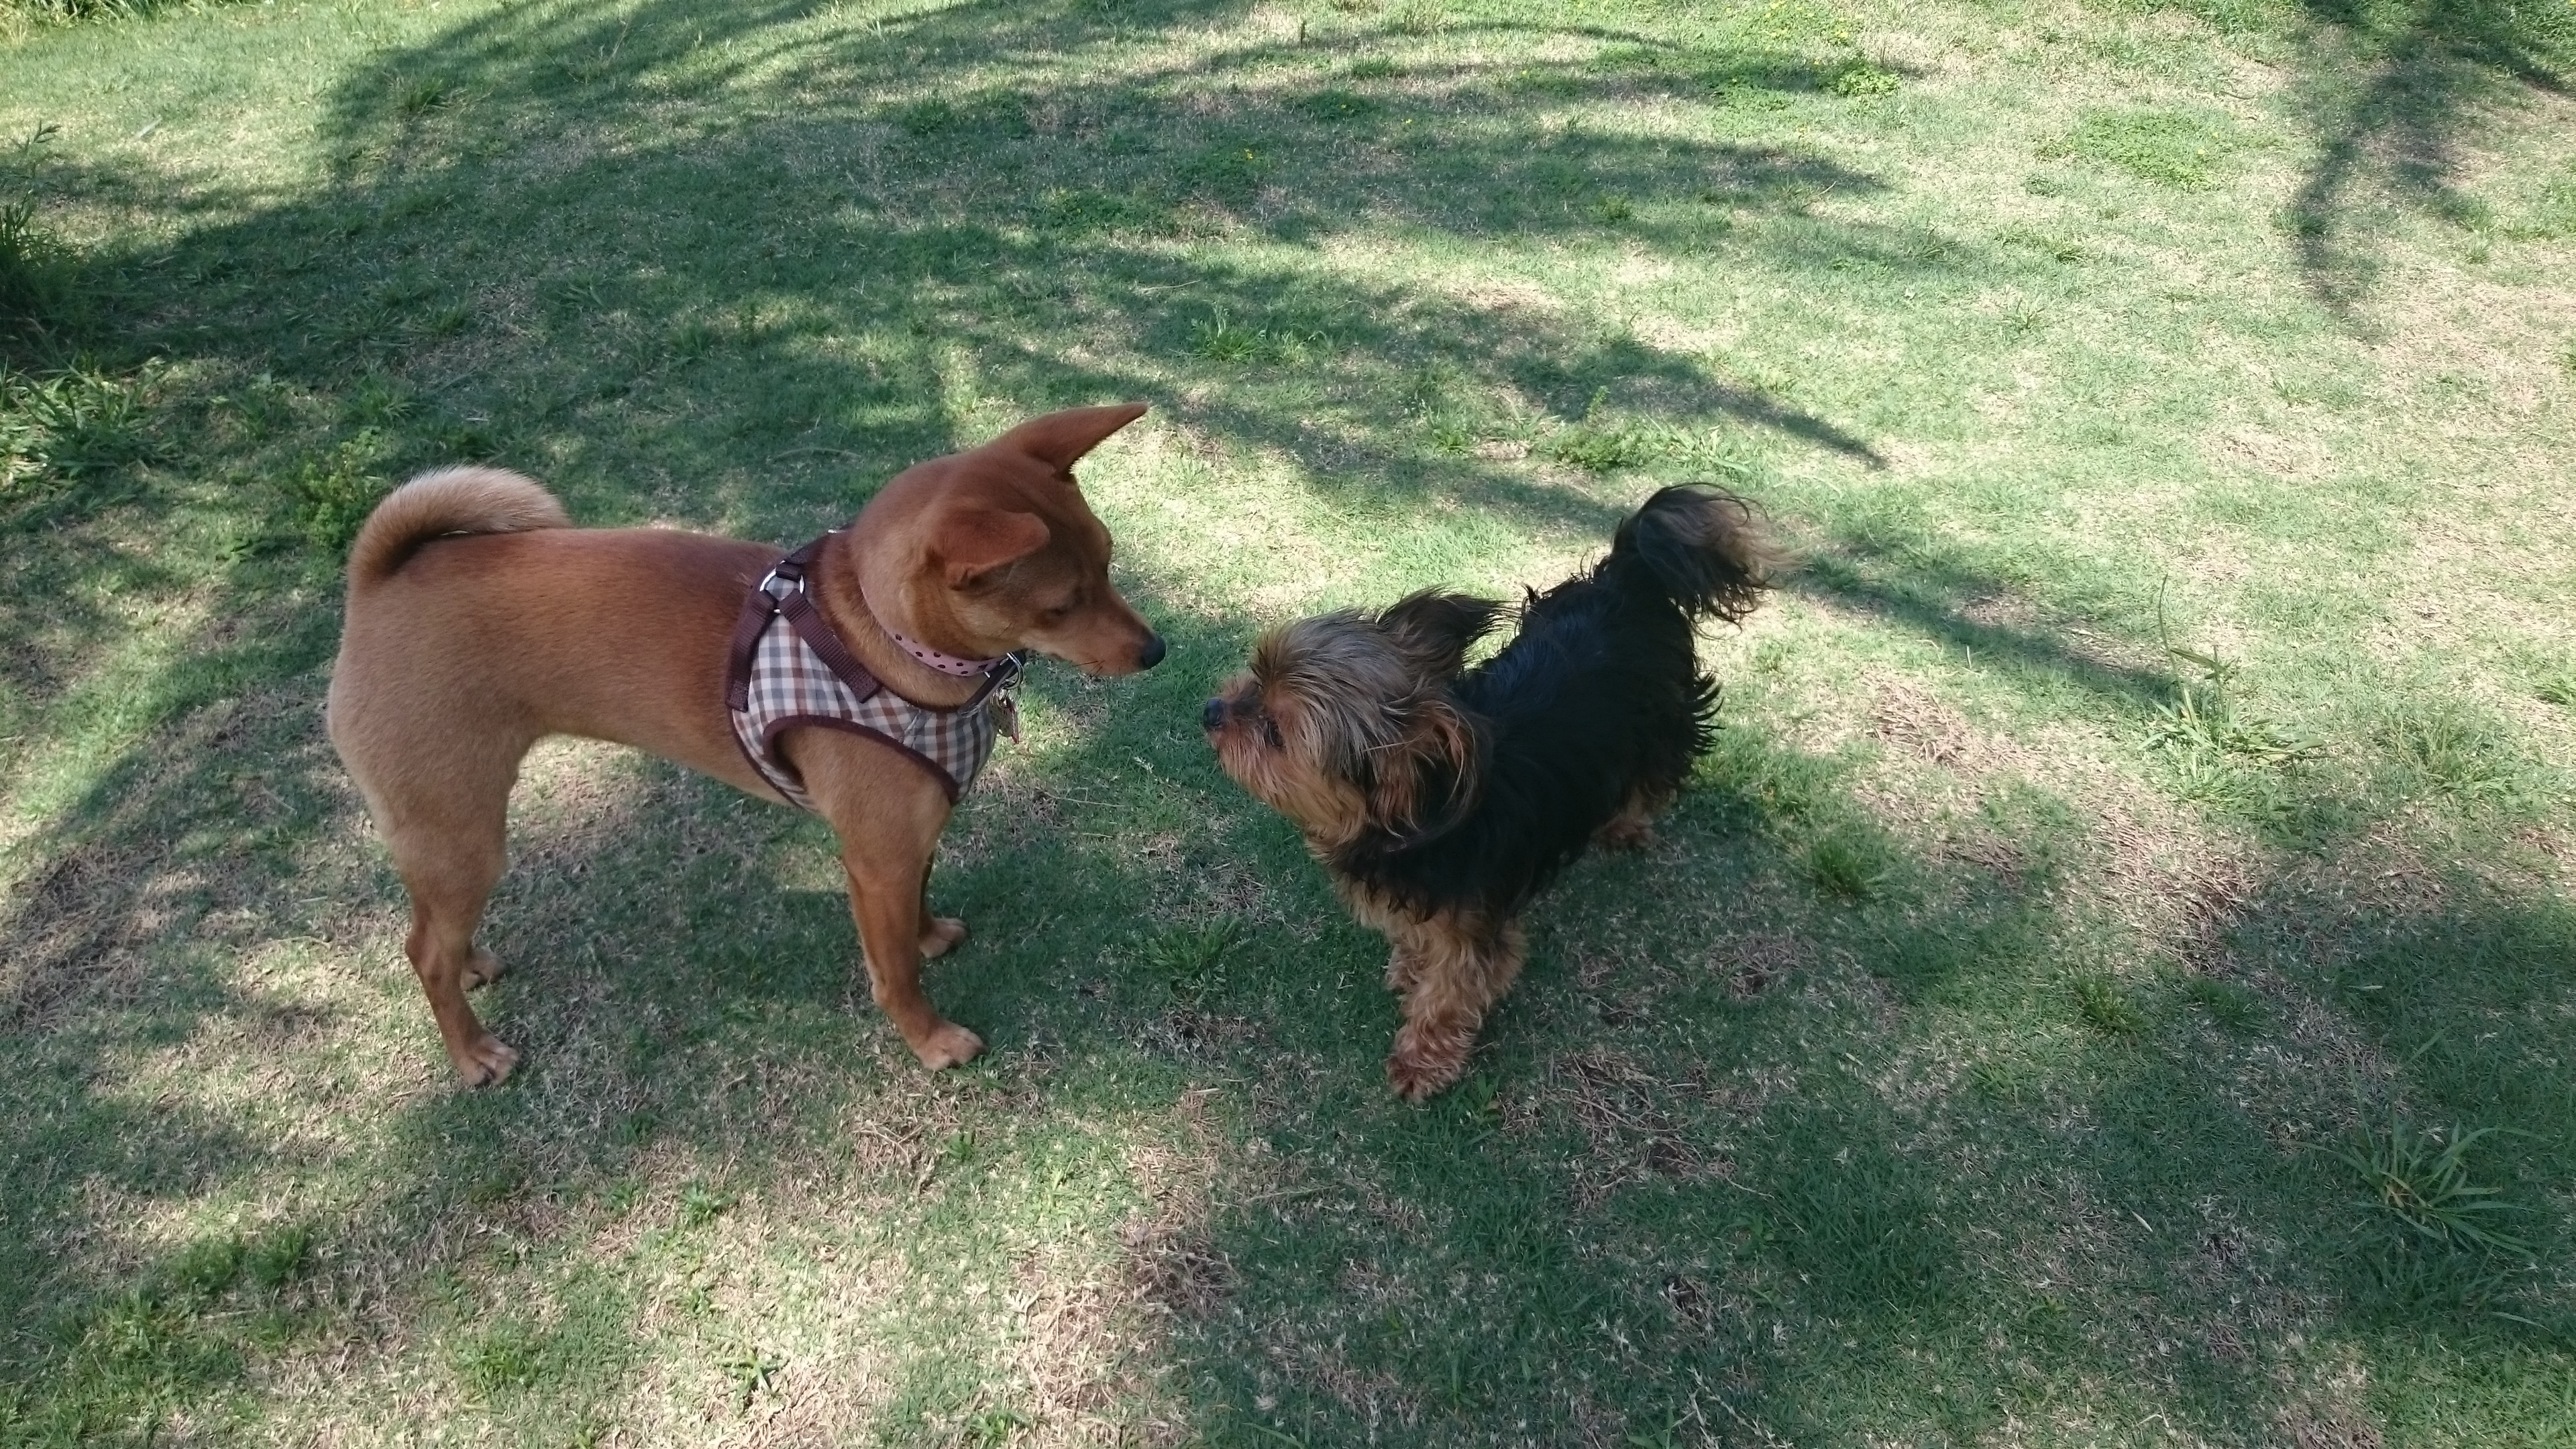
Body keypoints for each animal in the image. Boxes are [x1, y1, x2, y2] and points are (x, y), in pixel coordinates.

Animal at [327, 399, 1164, 1077]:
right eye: (1061, 606)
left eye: (1109, 559)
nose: (1155, 651)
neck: (878, 637)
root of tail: (380, 577)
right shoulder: (877, 860)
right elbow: (894, 972)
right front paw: (930, 1040)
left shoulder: (910, 840)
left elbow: (918, 911)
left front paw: (929, 936)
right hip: (462, 832)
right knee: (423, 949)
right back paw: (472, 1053)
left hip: (446, 842)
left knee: (435, 930)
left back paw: (472, 964)